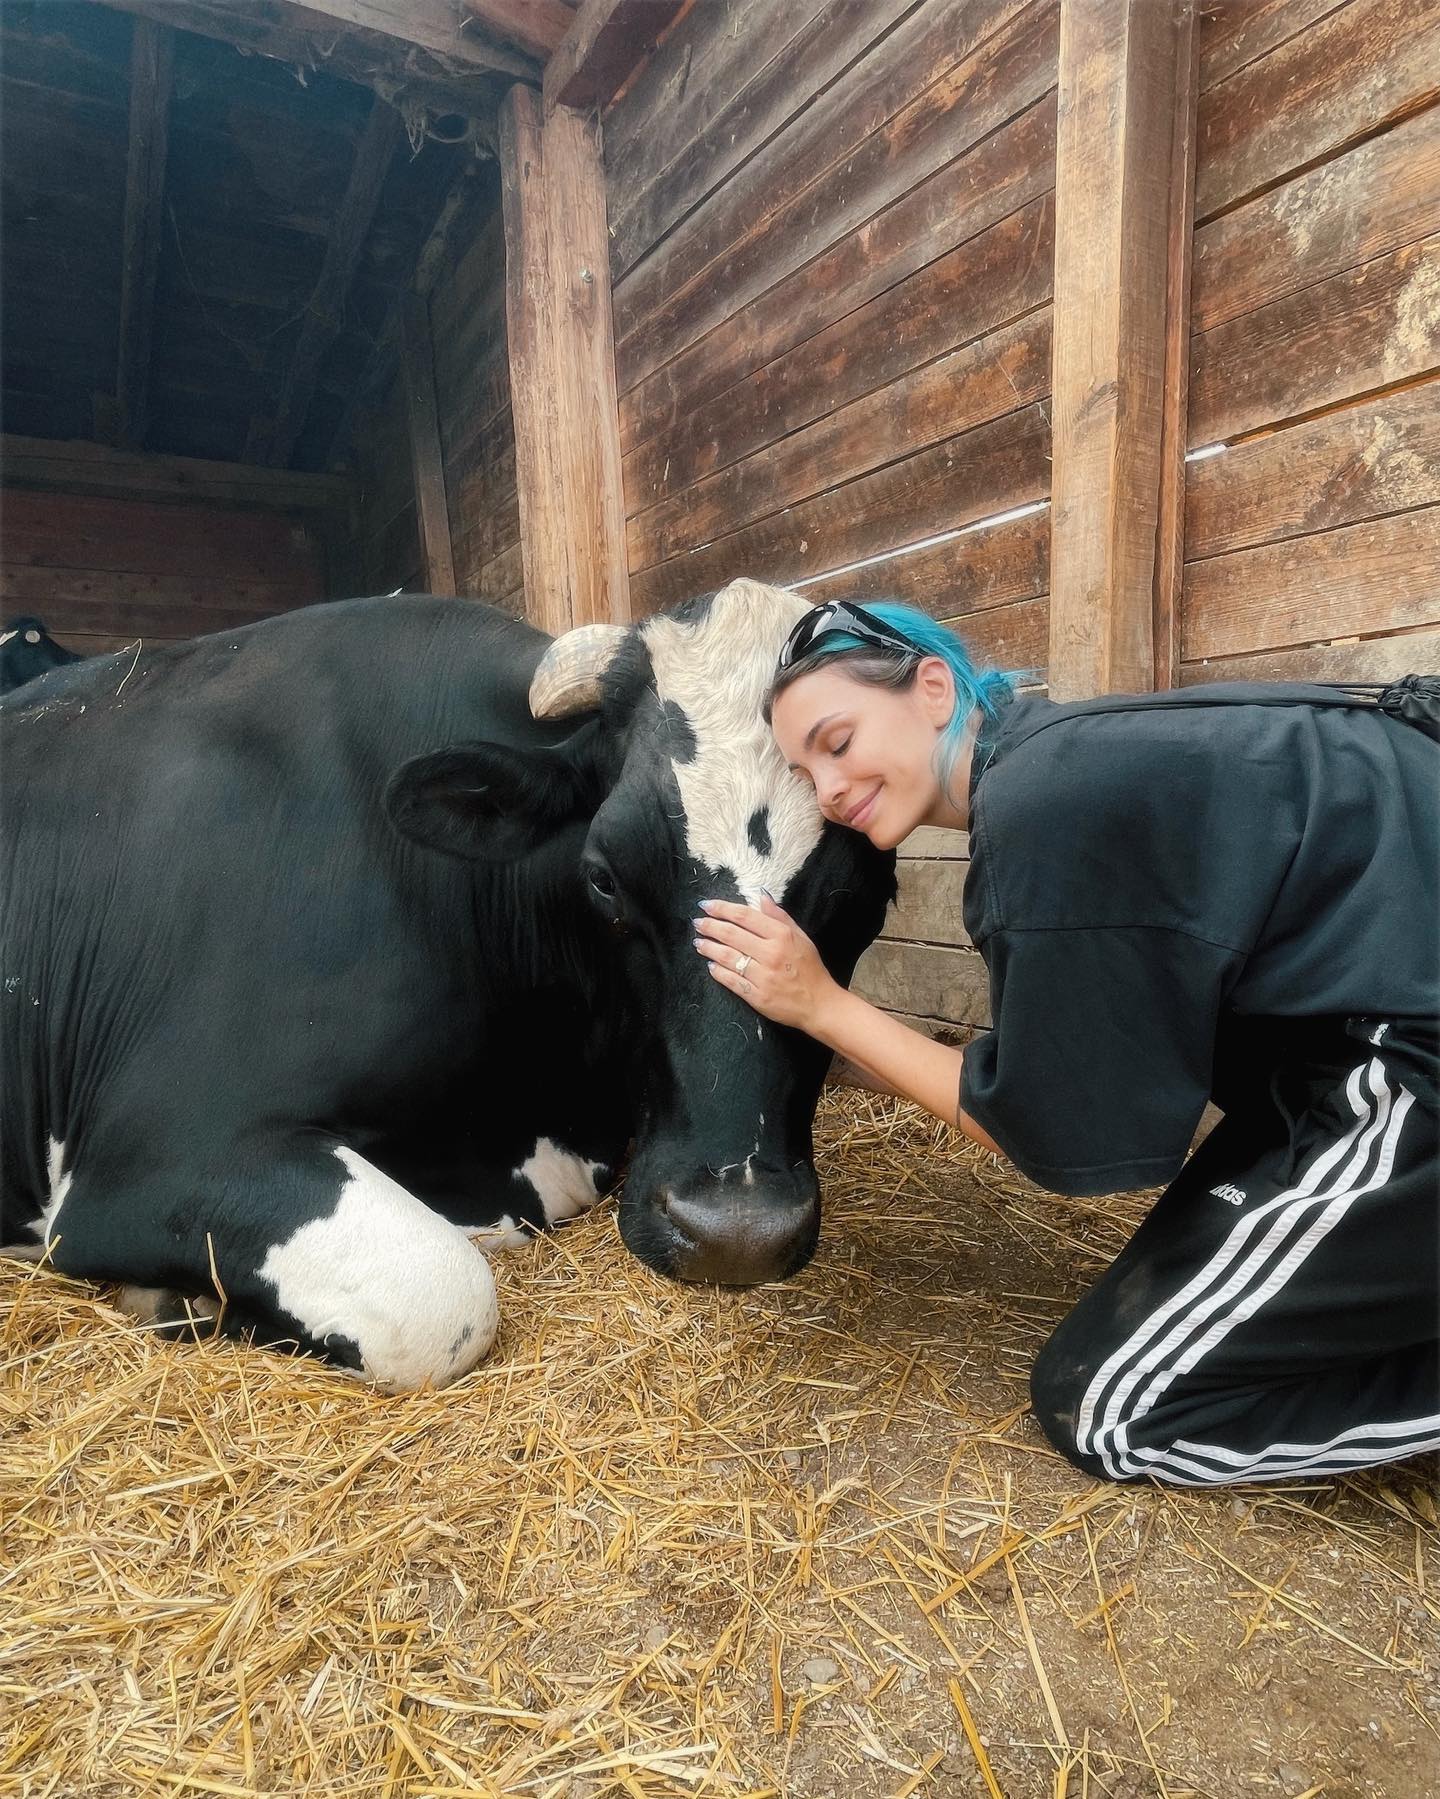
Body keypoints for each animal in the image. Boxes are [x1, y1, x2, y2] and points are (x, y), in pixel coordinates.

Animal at [0, 582, 892, 1381]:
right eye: (603, 877)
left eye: (871, 892)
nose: (735, 1231)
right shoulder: (144, 1156)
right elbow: (446, 1297)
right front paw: (172, 1297)